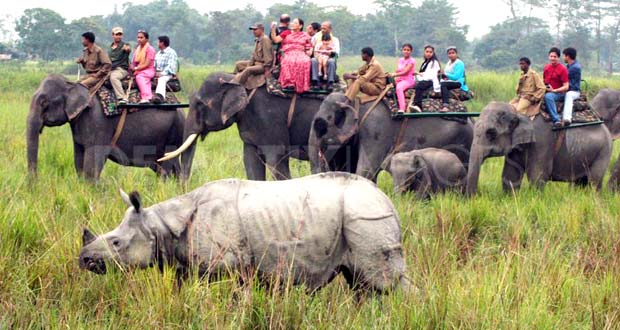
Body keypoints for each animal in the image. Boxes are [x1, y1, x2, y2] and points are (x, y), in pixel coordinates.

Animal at [28, 74, 184, 179]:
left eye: (44, 103)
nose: (34, 186)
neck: (74, 84)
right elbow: (78, 159)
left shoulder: (98, 123)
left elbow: (93, 161)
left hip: (172, 134)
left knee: (166, 166)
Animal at [81, 171, 412, 292]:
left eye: (116, 242)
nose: (83, 260)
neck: (160, 224)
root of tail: (387, 199)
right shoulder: (187, 265)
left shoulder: (230, 265)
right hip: (361, 216)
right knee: (362, 285)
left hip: (366, 216)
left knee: (384, 283)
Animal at [157, 73, 356, 180]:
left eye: (200, 104)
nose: (182, 188)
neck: (237, 78)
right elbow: (250, 161)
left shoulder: (268, 118)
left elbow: (276, 159)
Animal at [464, 103, 612, 195]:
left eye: (491, 133)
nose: (475, 197)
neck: (519, 110)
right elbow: (510, 175)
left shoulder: (541, 140)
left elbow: (537, 175)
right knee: (580, 182)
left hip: (604, 150)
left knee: (594, 181)